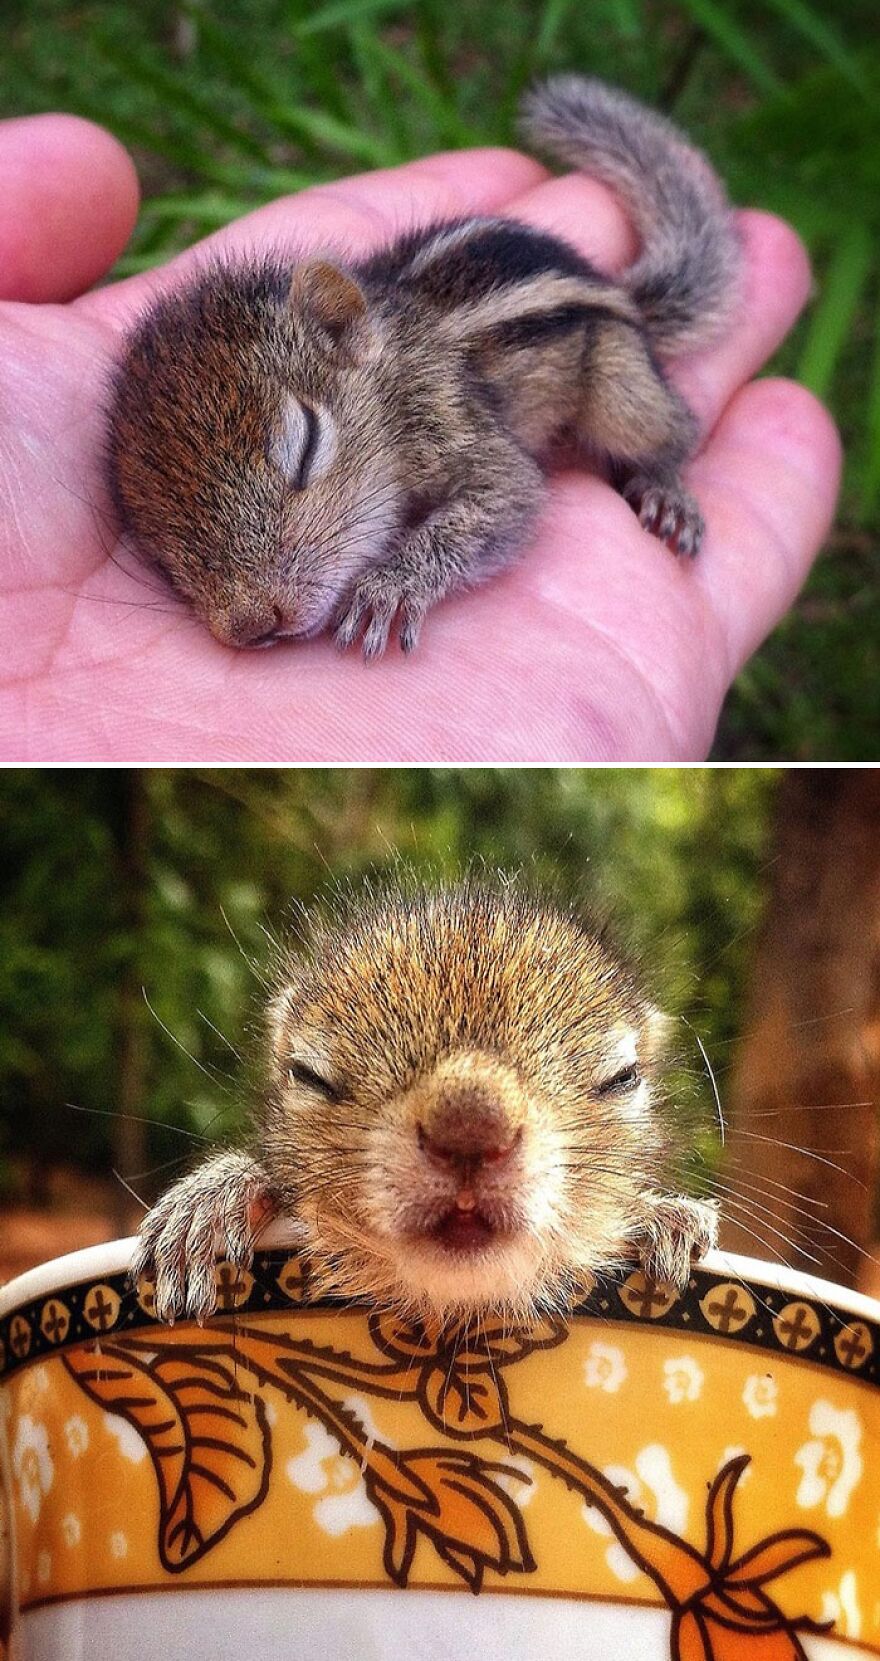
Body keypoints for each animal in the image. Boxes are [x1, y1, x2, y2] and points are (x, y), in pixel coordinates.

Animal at [106, 77, 741, 659]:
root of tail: (618, 291)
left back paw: (666, 490)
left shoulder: (454, 425)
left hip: (621, 385)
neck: (391, 377)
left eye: (306, 446)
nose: (252, 623)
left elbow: (509, 498)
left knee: (672, 430)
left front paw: (389, 587)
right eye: (154, 545)